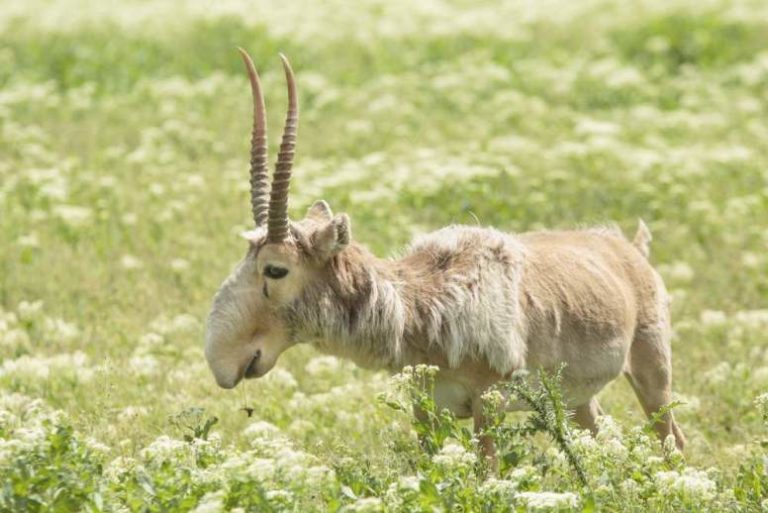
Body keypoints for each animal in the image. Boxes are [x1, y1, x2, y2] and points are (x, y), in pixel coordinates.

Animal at [205, 49, 686, 463]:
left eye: (275, 268)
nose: (223, 363)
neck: (424, 301)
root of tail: (628, 249)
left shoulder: (487, 406)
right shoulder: (427, 408)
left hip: (652, 374)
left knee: (672, 440)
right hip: (579, 399)